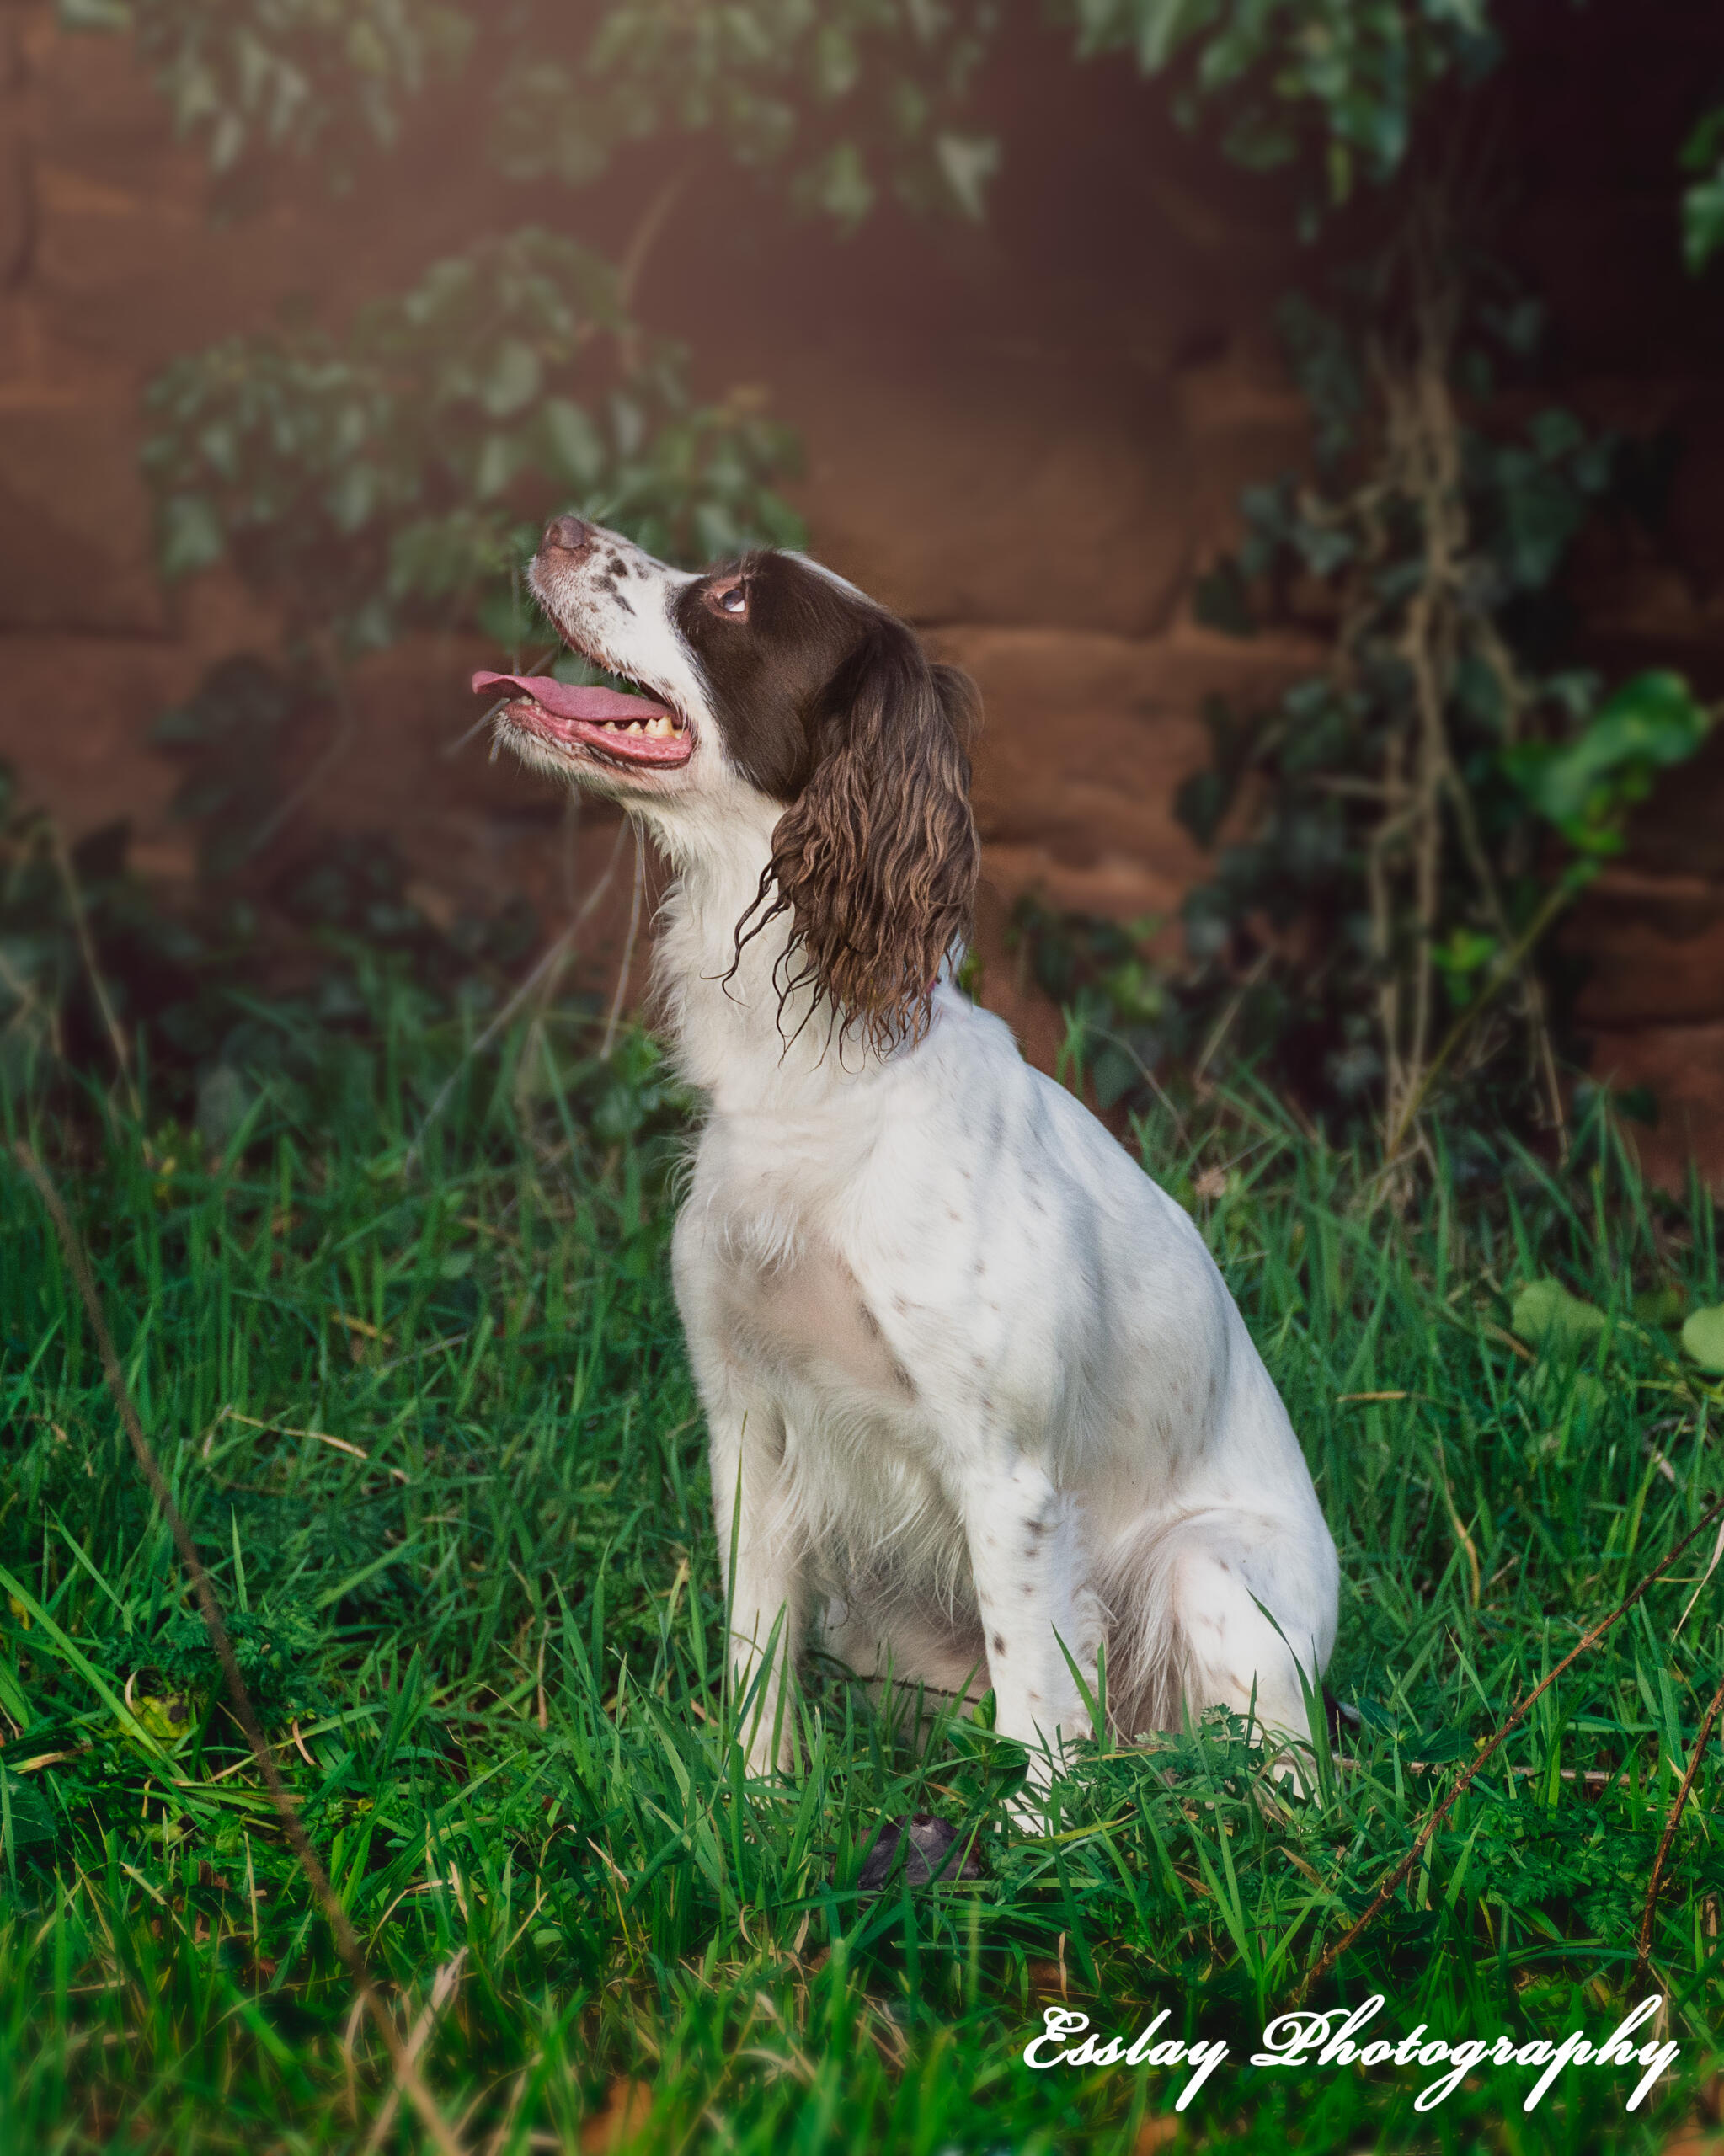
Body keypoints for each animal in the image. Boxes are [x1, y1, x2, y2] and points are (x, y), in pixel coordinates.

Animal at [478, 513, 1336, 1793]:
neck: (822, 1084)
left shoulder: (1007, 1472)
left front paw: (1034, 1841)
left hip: (1208, 1581)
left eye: (733, 600)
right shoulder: (747, 1427)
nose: (561, 526)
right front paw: (757, 1805)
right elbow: (754, 1657)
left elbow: (1037, 1715)